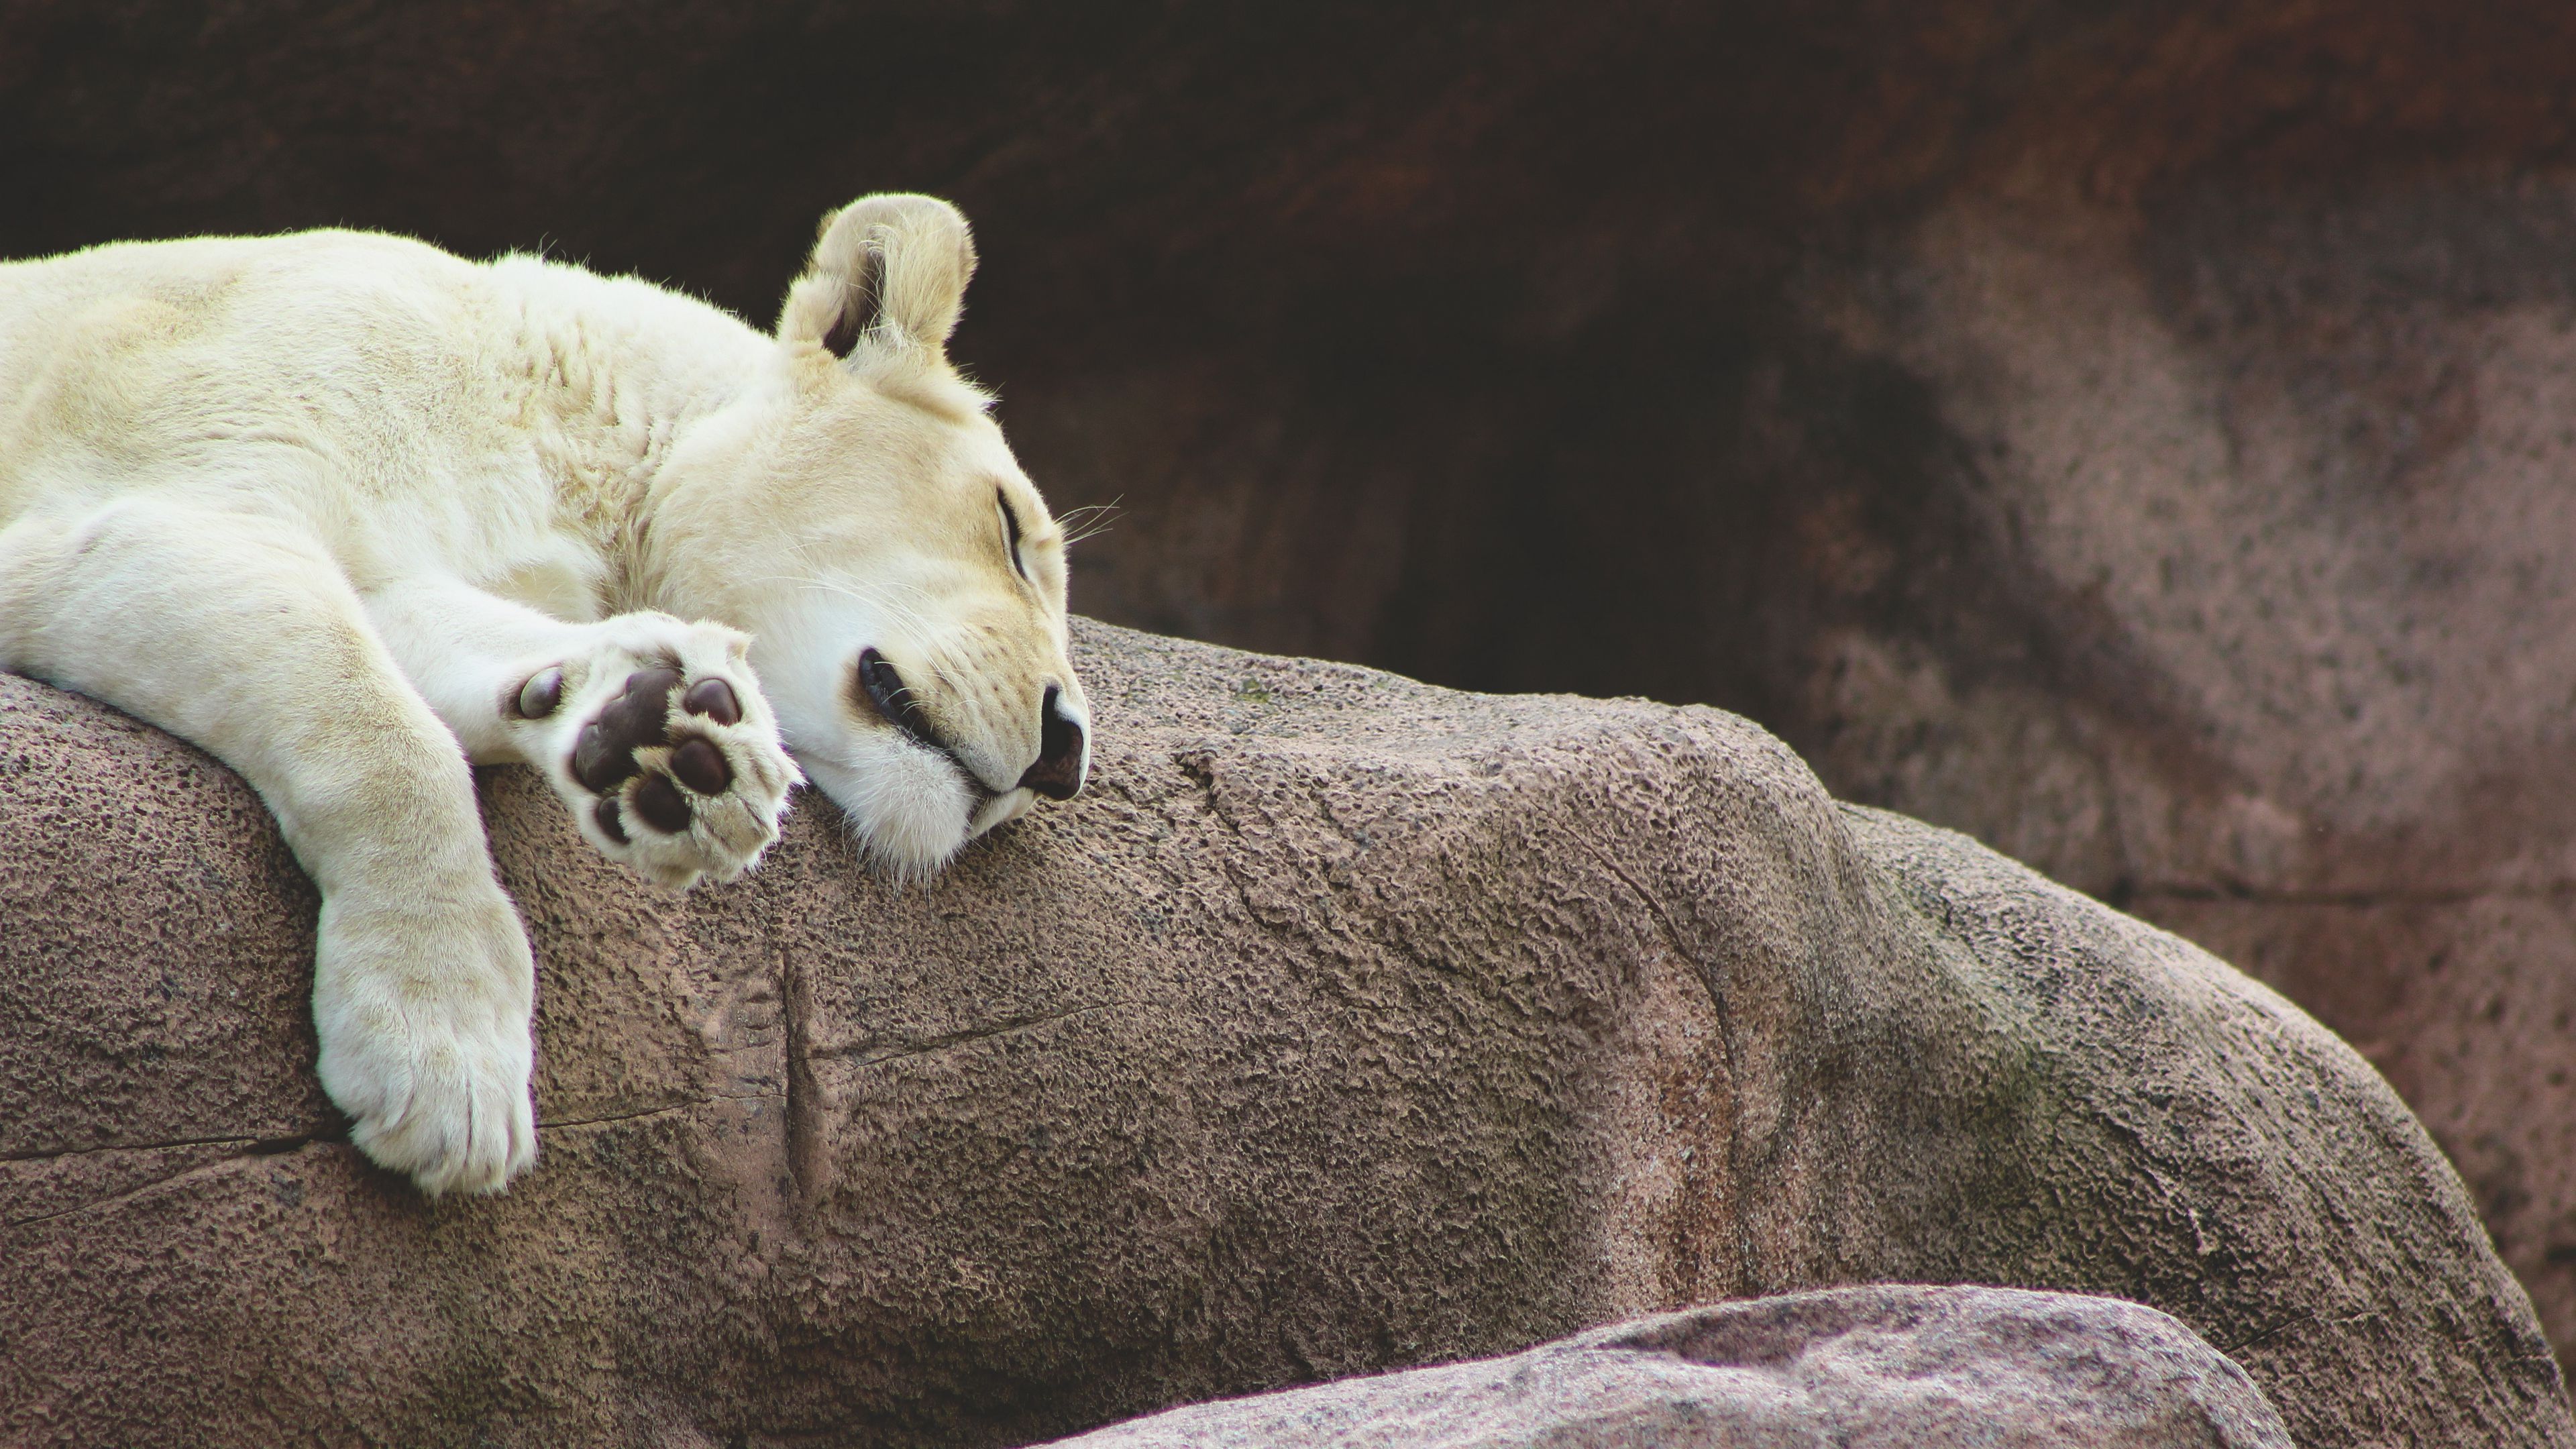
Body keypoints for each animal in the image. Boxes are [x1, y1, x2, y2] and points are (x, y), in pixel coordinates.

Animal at [0, 194, 1090, 1196]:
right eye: (1008, 526)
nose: (1068, 750)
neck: (572, 441)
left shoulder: (413, 566)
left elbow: (460, 652)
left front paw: (666, 740)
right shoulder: (155, 488)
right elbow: (380, 735)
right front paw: (443, 1062)